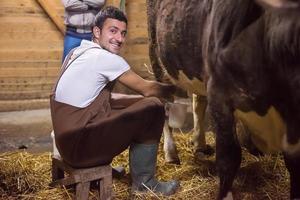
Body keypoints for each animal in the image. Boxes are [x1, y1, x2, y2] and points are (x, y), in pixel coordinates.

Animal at [146, 0, 300, 198]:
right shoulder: (220, 95)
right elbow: (229, 157)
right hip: (157, 54)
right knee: (165, 103)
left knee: (198, 101)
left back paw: (200, 144)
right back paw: (171, 154)